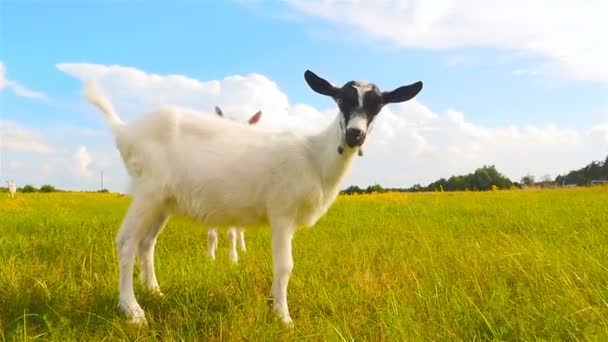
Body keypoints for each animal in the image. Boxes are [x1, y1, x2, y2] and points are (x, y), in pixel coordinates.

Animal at [208, 105, 262, 264]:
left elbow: (232, 233)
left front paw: (233, 259)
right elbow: (211, 233)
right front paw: (210, 258)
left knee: (239, 230)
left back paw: (242, 248)